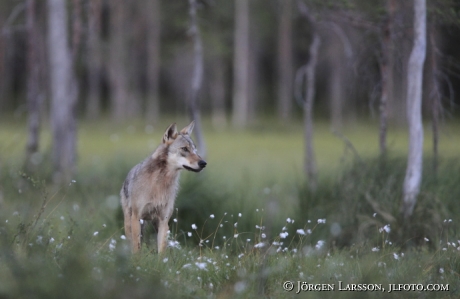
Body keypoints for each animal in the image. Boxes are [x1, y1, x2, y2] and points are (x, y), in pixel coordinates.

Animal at [119, 120, 206, 254]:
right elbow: (137, 249)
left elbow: (162, 252)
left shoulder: (164, 221)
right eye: (185, 149)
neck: (160, 183)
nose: (203, 163)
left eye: (195, 150)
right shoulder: (137, 217)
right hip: (130, 223)